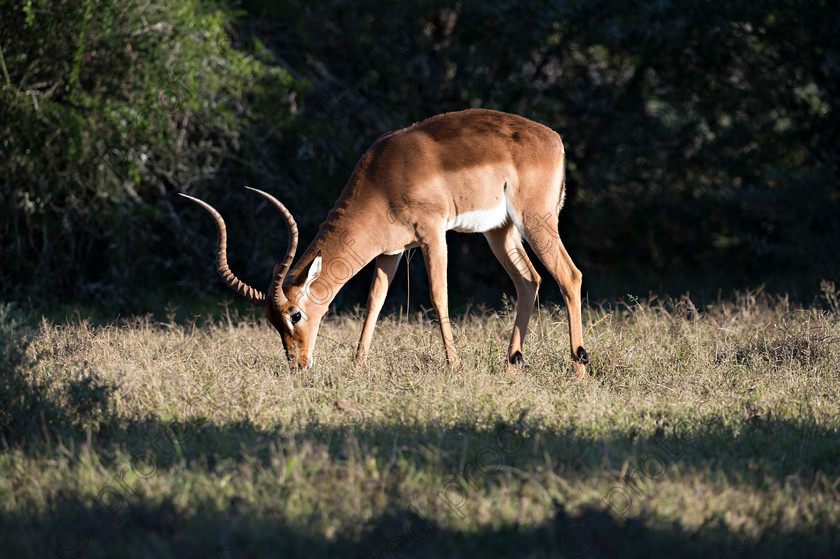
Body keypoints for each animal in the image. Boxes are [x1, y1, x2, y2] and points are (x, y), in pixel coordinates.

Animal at [182, 108, 592, 380]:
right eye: (271, 321)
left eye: (295, 314)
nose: (298, 365)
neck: (384, 178)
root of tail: (554, 139)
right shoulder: (391, 251)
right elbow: (374, 303)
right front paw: (357, 365)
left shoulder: (432, 233)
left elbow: (438, 296)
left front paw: (454, 366)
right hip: (500, 230)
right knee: (529, 281)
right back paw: (512, 365)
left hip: (535, 221)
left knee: (569, 276)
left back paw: (578, 367)